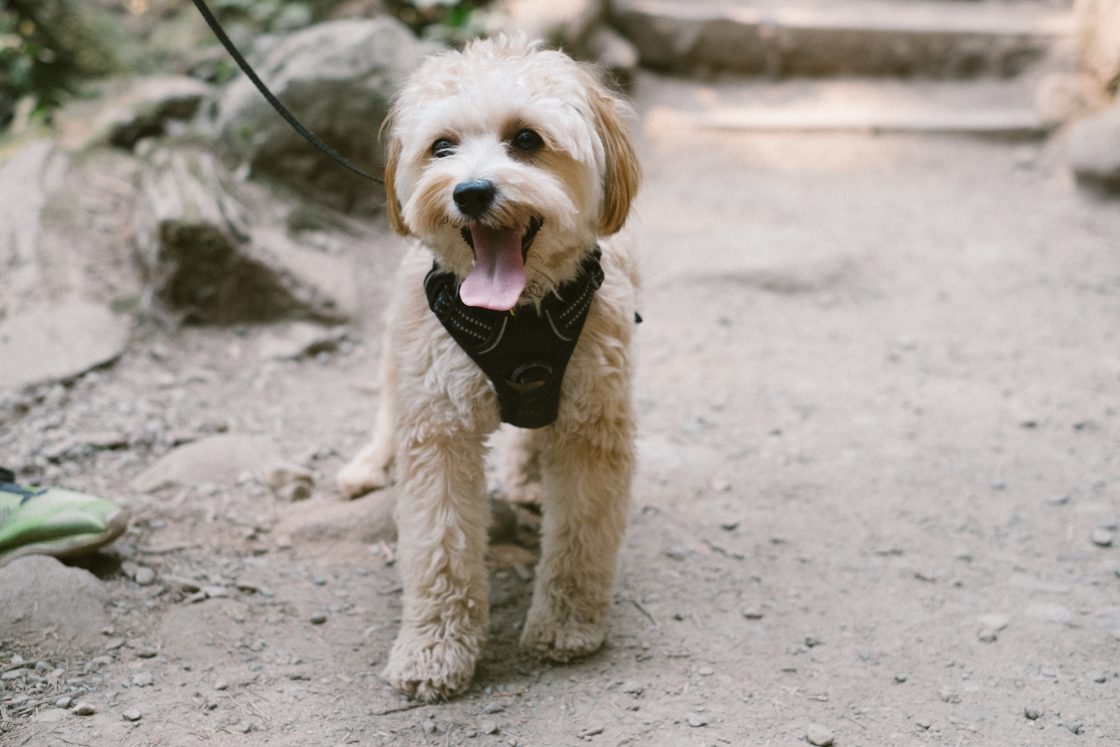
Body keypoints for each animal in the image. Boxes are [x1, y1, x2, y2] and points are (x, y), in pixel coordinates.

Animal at [336, 33, 640, 703]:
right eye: (441, 147)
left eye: (526, 139)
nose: (470, 192)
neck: (519, 316)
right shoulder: (438, 429)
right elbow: (440, 547)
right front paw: (434, 649)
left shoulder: (592, 426)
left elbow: (581, 534)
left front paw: (567, 623)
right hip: (400, 353)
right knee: (387, 406)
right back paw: (367, 464)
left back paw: (527, 479)